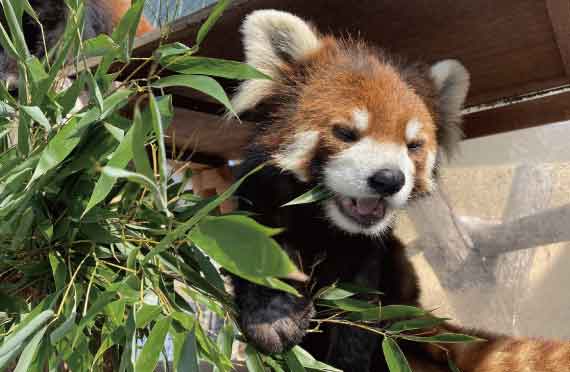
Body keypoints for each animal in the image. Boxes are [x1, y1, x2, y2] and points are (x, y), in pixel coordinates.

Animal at [229, 8, 564, 372]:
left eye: (413, 145)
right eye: (346, 133)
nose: (388, 179)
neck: (324, 224)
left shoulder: (369, 257)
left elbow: (359, 314)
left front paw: (346, 358)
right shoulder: (259, 197)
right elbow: (256, 246)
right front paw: (274, 316)